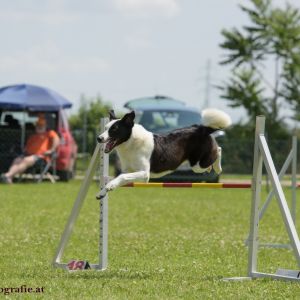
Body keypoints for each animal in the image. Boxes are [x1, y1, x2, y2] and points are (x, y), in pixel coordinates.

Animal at [96, 108, 232, 199]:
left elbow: (122, 177)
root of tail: (201, 128)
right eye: (105, 128)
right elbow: (117, 178)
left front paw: (108, 187)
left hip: (198, 164)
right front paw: (102, 192)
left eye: (114, 129)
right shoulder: (128, 171)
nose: (99, 138)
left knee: (219, 150)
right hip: (197, 165)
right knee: (216, 152)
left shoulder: (144, 174)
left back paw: (218, 168)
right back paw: (211, 168)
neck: (130, 142)